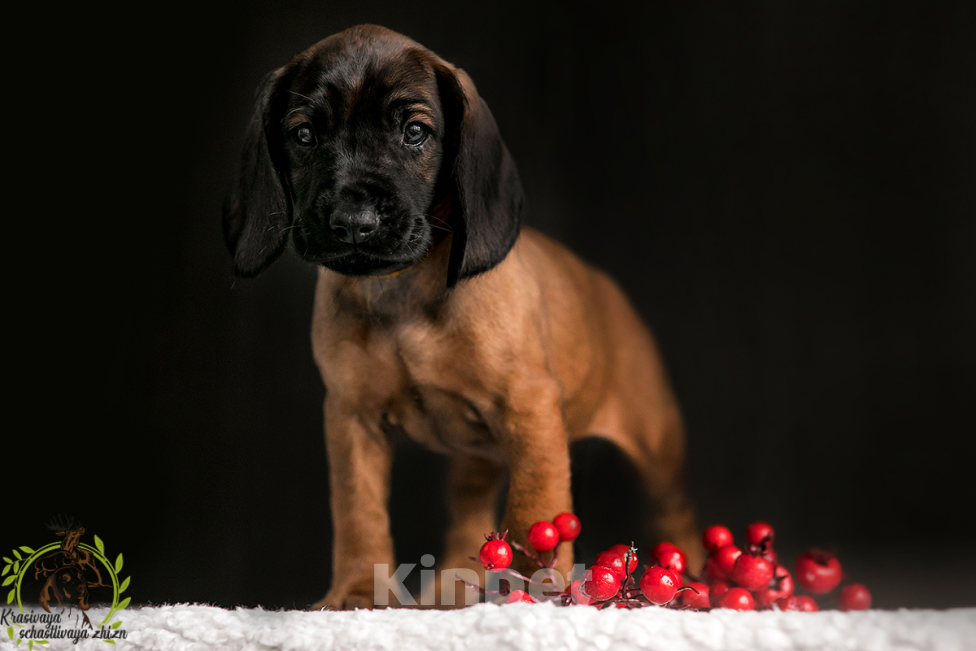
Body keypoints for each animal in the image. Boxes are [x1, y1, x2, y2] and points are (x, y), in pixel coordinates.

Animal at [227, 24, 700, 608]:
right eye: (304, 135)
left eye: (415, 132)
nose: (353, 221)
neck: (401, 294)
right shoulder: (351, 417)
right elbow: (358, 514)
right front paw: (357, 594)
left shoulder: (529, 410)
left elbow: (533, 513)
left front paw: (543, 594)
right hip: (476, 458)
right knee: (467, 523)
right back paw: (449, 592)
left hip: (657, 450)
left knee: (677, 517)